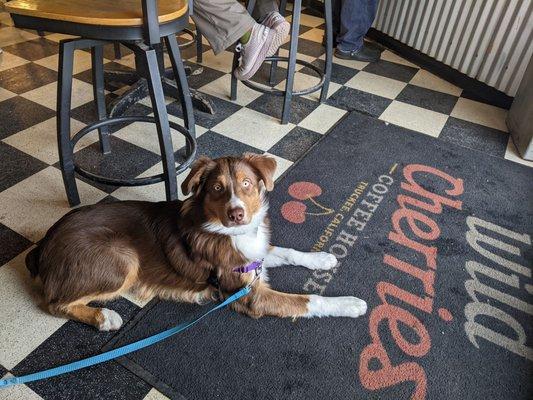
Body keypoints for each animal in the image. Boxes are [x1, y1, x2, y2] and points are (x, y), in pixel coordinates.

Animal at [25, 153, 366, 332]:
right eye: (216, 188)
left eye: (246, 184)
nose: (237, 214)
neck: (228, 233)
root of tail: (45, 242)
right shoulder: (250, 296)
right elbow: (308, 300)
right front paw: (350, 303)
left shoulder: (253, 259)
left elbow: (286, 251)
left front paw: (322, 258)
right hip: (122, 258)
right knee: (54, 303)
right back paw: (103, 317)